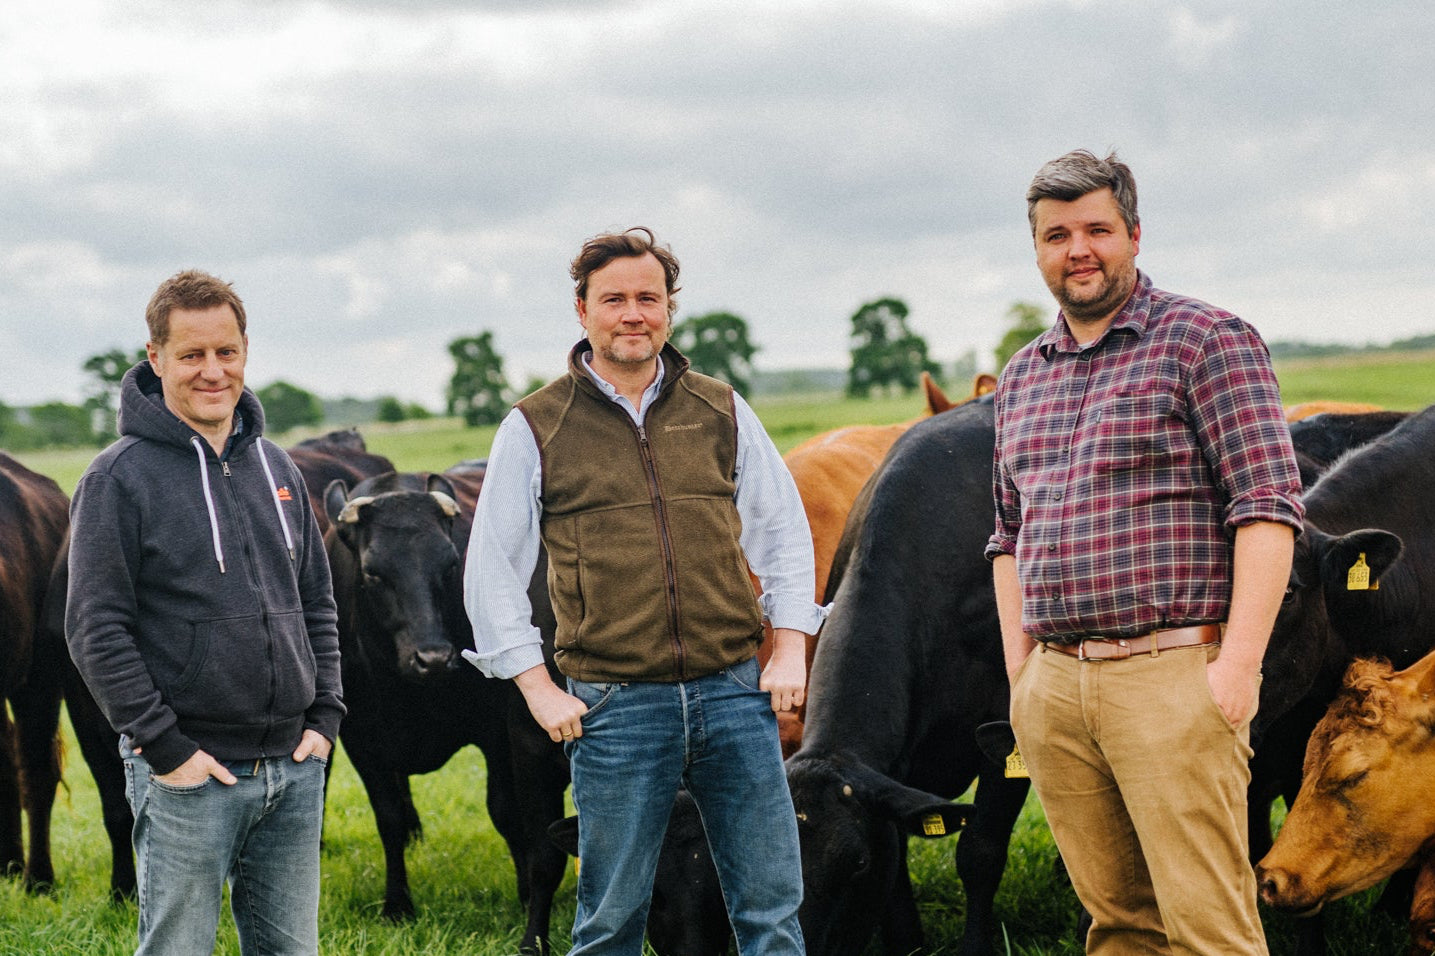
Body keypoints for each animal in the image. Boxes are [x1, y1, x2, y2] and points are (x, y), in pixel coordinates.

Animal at [325, 465, 571, 947]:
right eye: (373, 573)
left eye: (451, 565)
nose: (433, 657)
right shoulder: (362, 742)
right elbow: (389, 820)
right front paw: (397, 906)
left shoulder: (495, 733)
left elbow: (505, 811)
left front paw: (523, 894)